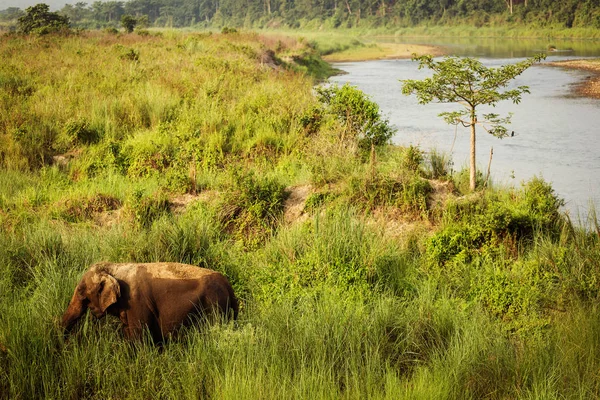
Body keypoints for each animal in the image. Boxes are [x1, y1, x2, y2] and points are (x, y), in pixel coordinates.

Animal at [61, 260, 238, 342]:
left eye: (81, 292)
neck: (115, 267)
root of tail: (229, 286)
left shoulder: (137, 303)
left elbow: (139, 338)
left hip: (215, 305)